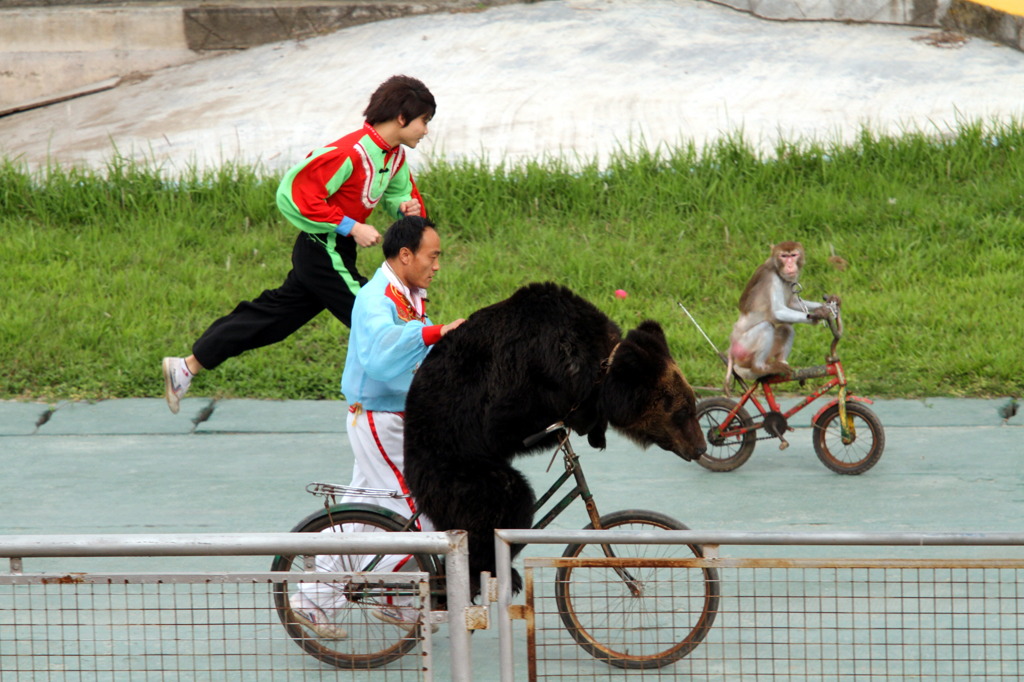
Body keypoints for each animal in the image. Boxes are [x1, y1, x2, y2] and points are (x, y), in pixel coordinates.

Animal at [403, 278, 708, 593]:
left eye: (690, 404)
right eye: (683, 411)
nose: (700, 447)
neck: (593, 367)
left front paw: (597, 434)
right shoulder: (525, 378)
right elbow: (510, 427)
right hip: (454, 463)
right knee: (503, 500)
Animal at [724, 240, 835, 387]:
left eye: (793, 255)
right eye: (783, 256)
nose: (790, 265)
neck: (777, 270)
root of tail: (731, 350)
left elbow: (792, 303)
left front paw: (830, 305)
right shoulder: (772, 278)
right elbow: (778, 312)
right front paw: (818, 315)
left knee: (786, 328)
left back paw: (782, 364)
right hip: (743, 348)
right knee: (766, 326)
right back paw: (760, 368)